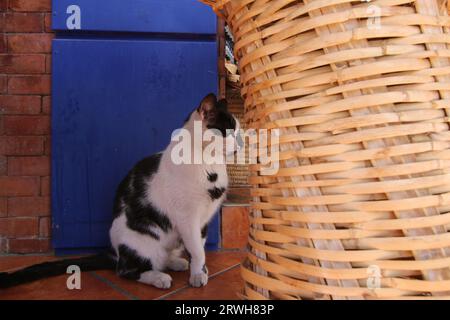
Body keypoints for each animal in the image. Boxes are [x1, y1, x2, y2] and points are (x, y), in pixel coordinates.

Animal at [0, 93, 243, 290]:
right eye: (228, 131)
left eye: (238, 131)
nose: (240, 145)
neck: (209, 165)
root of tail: (115, 252)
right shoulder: (188, 218)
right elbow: (197, 250)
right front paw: (197, 276)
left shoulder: (203, 221)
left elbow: (198, 249)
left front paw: (199, 271)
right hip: (141, 242)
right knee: (126, 270)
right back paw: (159, 278)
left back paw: (174, 262)